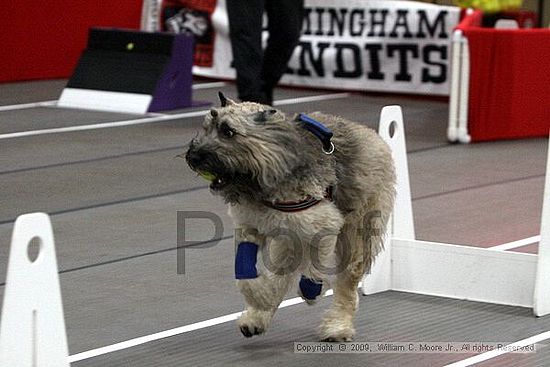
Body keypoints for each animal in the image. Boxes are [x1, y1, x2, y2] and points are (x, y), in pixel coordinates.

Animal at [187, 94, 396, 342]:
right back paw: (257, 318)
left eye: (228, 131)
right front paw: (260, 299)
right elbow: (246, 273)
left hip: (357, 232)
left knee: (347, 283)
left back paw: (337, 325)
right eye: (206, 127)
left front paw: (310, 289)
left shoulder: (322, 223)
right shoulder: (251, 226)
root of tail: (371, 134)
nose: (193, 157)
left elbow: (314, 265)